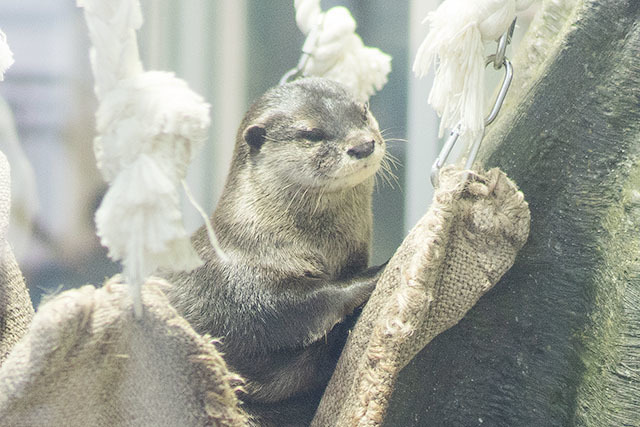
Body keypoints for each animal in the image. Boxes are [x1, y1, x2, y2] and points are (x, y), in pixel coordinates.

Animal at [165, 77, 384, 424]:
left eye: (363, 112)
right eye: (311, 134)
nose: (362, 145)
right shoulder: (241, 283)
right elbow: (292, 308)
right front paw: (376, 274)